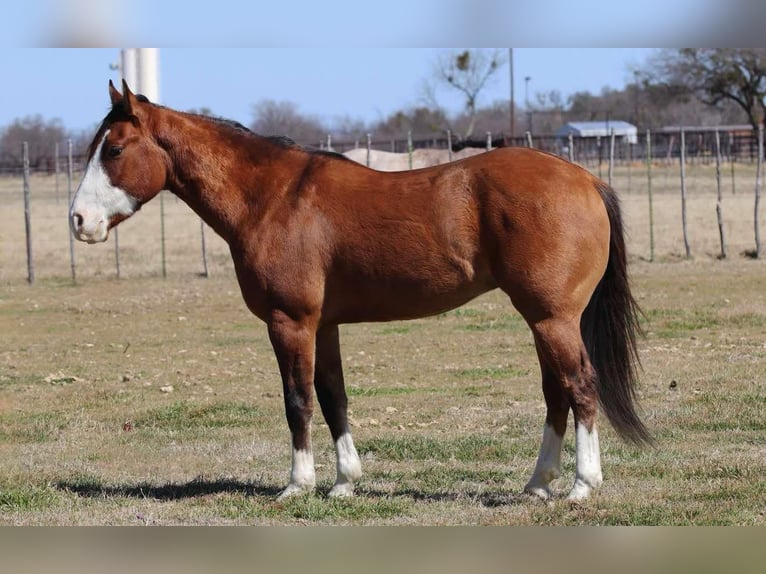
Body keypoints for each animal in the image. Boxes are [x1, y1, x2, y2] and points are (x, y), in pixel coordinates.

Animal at [70, 81, 649, 502]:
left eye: (114, 148)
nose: (79, 221)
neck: (272, 198)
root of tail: (584, 179)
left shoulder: (290, 323)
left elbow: (298, 401)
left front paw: (297, 485)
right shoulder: (324, 326)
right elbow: (334, 399)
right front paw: (345, 483)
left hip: (553, 318)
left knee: (580, 387)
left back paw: (581, 486)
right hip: (543, 320)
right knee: (556, 393)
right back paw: (536, 485)